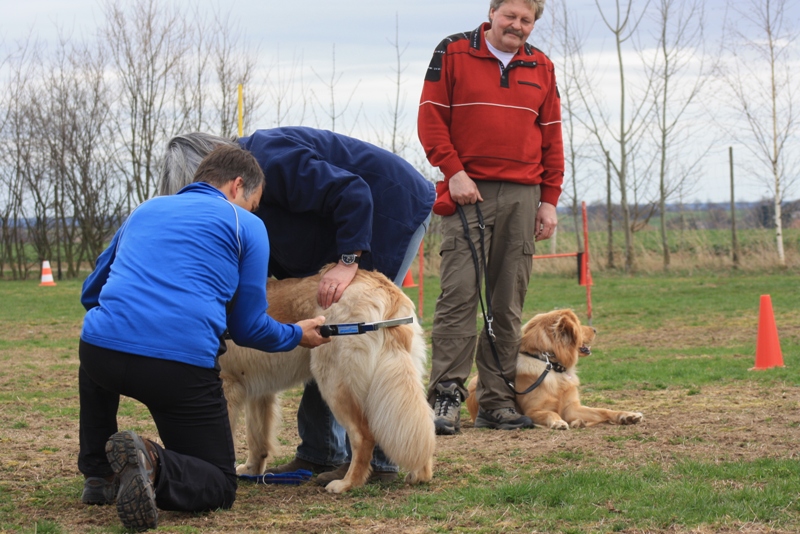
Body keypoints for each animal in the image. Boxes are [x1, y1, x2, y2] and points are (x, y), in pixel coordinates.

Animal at [219, 267, 435, 493]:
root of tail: (385, 289)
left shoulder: (227, 386)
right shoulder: (258, 389)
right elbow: (256, 437)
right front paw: (251, 471)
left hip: (333, 381)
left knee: (363, 436)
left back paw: (347, 483)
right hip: (400, 380)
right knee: (420, 423)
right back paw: (420, 474)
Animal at [466, 309, 643, 430]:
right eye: (578, 324)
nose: (595, 330)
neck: (553, 367)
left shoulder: (572, 408)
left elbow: (603, 410)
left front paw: (628, 415)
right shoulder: (532, 411)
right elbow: (551, 412)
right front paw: (558, 422)